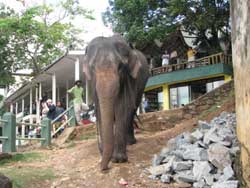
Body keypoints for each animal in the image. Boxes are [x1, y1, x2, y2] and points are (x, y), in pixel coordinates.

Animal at [83, 35, 149, 170]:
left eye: (120, 67)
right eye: (92, 68)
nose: (104, 168)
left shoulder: (129, 78)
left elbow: (123, 106)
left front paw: (118, 160)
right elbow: (100, 110)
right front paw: (108, 154)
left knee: (132, 108)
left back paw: (130, 142)